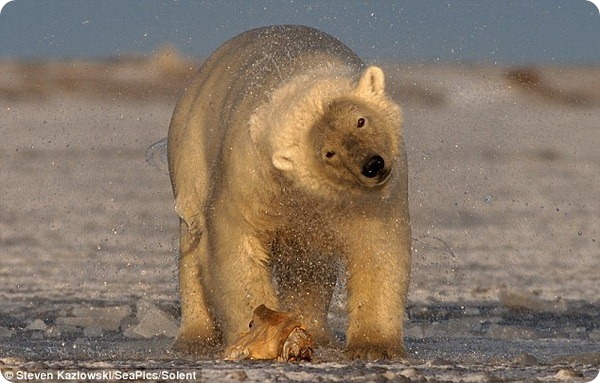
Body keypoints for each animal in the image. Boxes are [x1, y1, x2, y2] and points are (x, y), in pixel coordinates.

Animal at [169, 24, 412, 360]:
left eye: (361, 120)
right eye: (329, 153)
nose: (372, 165)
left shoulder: (370, 202)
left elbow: (377, 249)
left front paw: (373, 347)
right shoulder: (249, 176)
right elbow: (234, 245)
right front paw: (256, 331)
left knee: (308, 266)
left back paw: (318, 333)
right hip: (191, 150)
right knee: (193, 243)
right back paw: (195, 338)